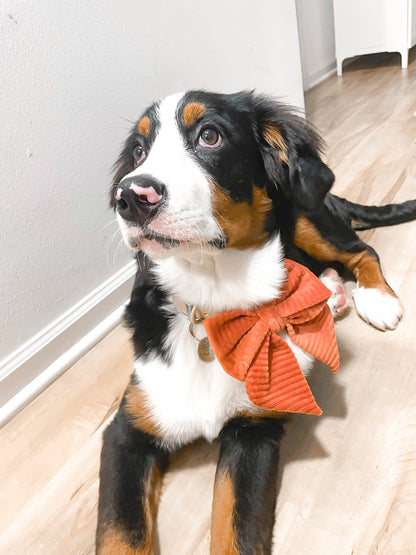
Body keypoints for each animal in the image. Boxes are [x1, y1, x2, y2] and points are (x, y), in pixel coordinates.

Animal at [95, 89, 416, 552]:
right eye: (138, 151)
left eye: (210, 136)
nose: (132, 197)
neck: (212, 303)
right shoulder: (127, 431)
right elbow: (120, 534)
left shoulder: (254, 430)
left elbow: (236, 531)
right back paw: (330, 293)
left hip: (302, 213)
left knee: (360, 251)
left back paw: (375, 298)